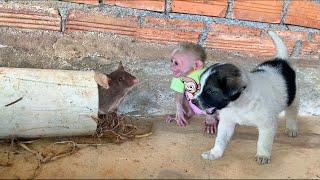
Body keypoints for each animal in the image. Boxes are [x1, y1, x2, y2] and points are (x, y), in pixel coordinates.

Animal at [191, 31, 298, 165]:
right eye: (200, 86)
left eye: (211, 91)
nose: (193, 101)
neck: (239, 104)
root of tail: (280, 60)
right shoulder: (227, 122)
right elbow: (220, 139)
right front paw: (214, 153)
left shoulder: (267, 125)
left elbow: (263, 142)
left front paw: (263, 155)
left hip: (292, 98)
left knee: (292, 111)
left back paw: (292, 127)